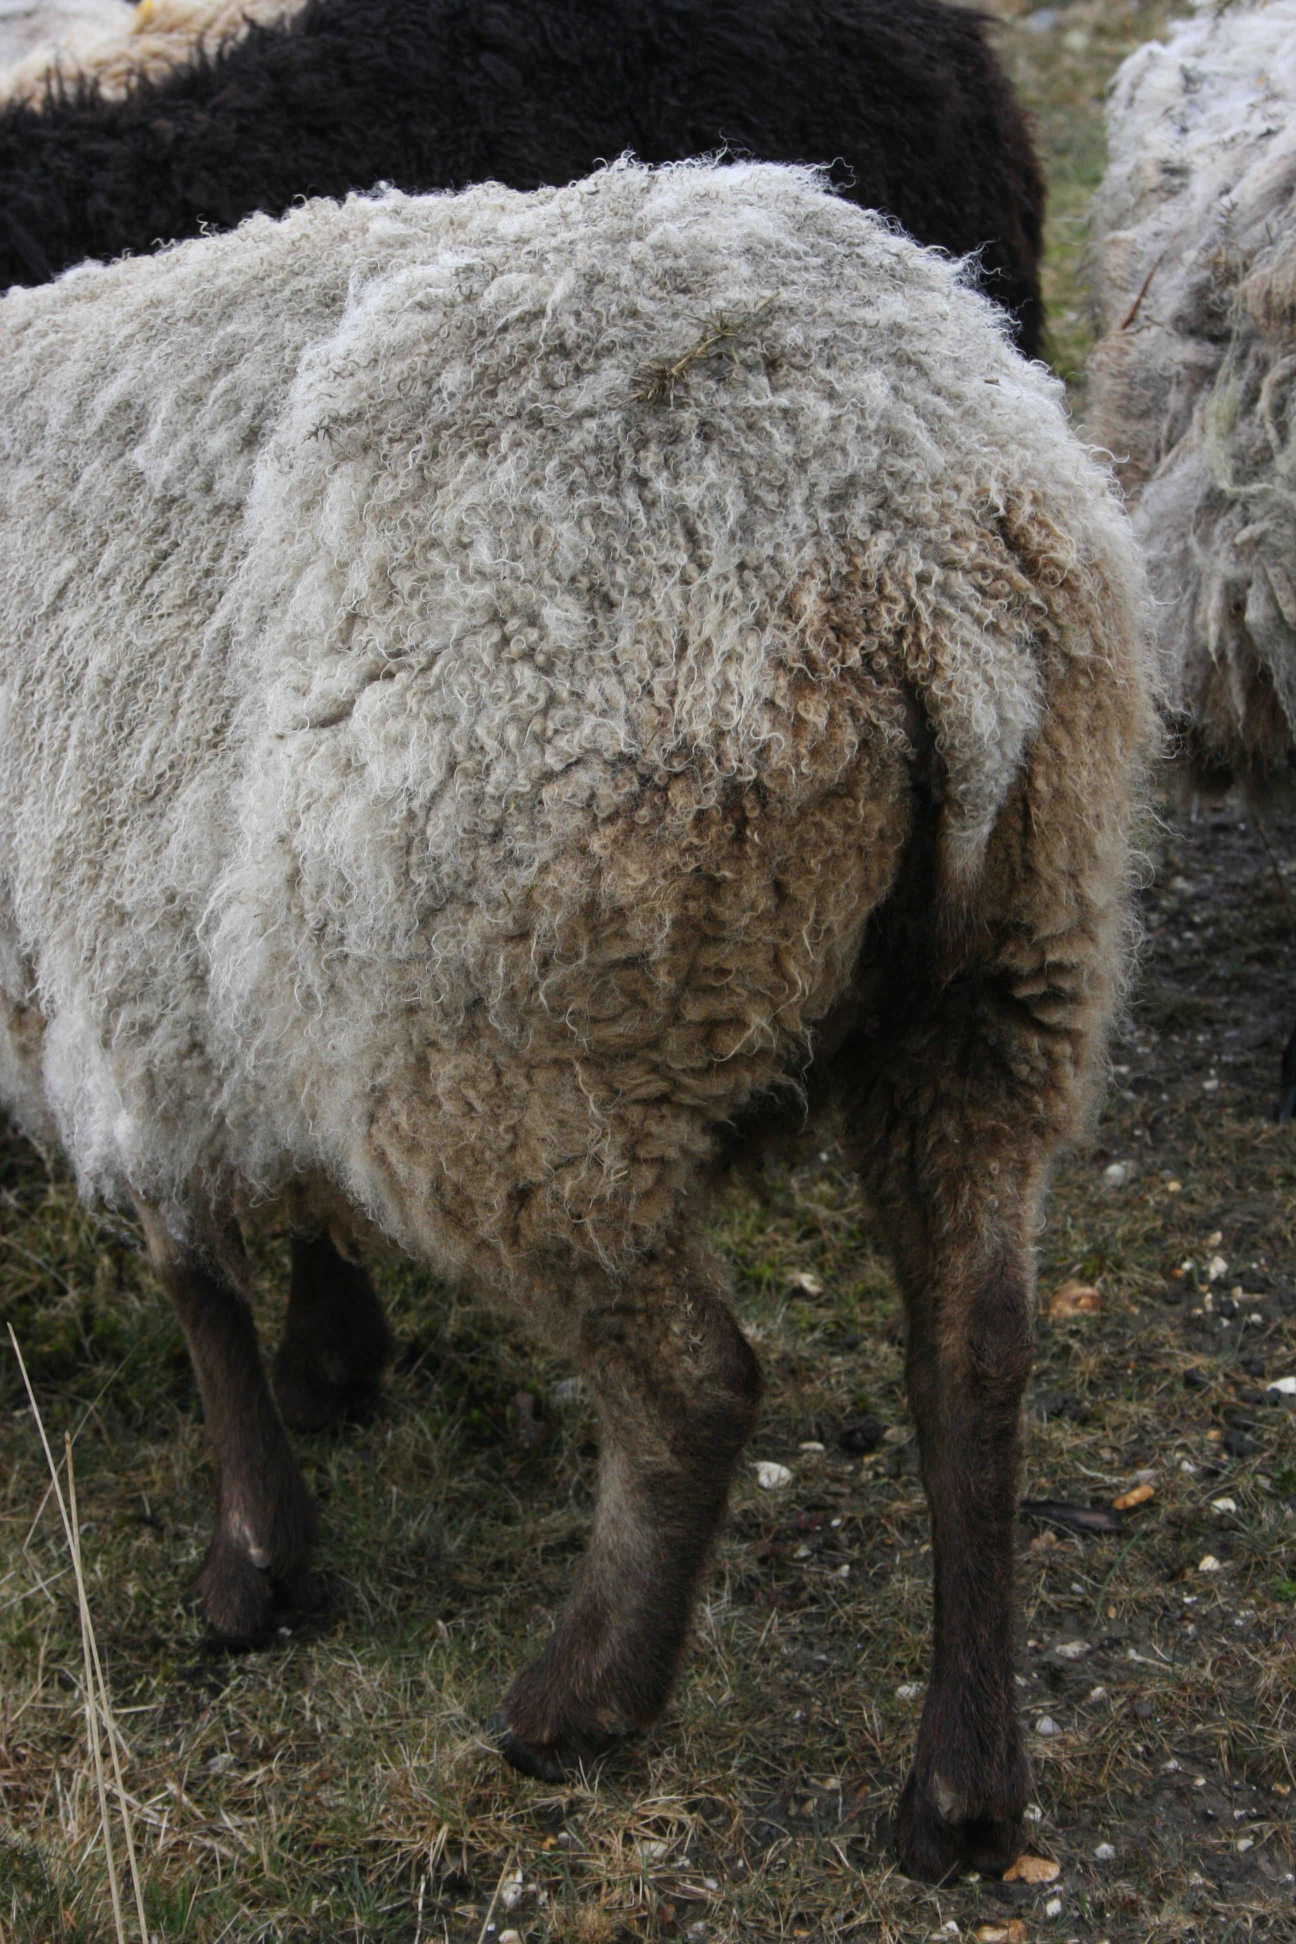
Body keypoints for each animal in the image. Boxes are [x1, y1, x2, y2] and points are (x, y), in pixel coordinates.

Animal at [0, 159, 1158, 1874]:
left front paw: (254, 1564)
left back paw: (578, 1703)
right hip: (1009, 973)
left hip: (521, 1051)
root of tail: (915, 560)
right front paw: (336, 1351)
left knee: (694, 1388)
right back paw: (957, 1790)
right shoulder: (227, 982)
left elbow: (193, 1274)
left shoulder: (113, 980)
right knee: (976, 1352)